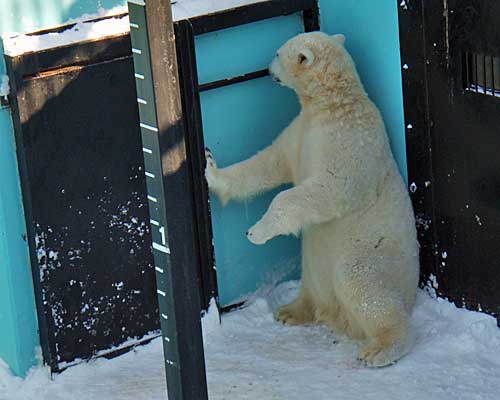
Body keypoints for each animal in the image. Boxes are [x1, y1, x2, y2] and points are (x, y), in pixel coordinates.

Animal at [205, 32, 420, 368]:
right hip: (316, 264)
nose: (267, 69)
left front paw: (255, 232)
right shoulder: (300, 134)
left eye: (277, 53)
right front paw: (210, 168)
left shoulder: (348, 143)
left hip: (373, 255)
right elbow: (267, 164)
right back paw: (291, 311)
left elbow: (328, 187)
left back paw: (380, 349)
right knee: (314, 282)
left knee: (363, 286)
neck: (334, 107)